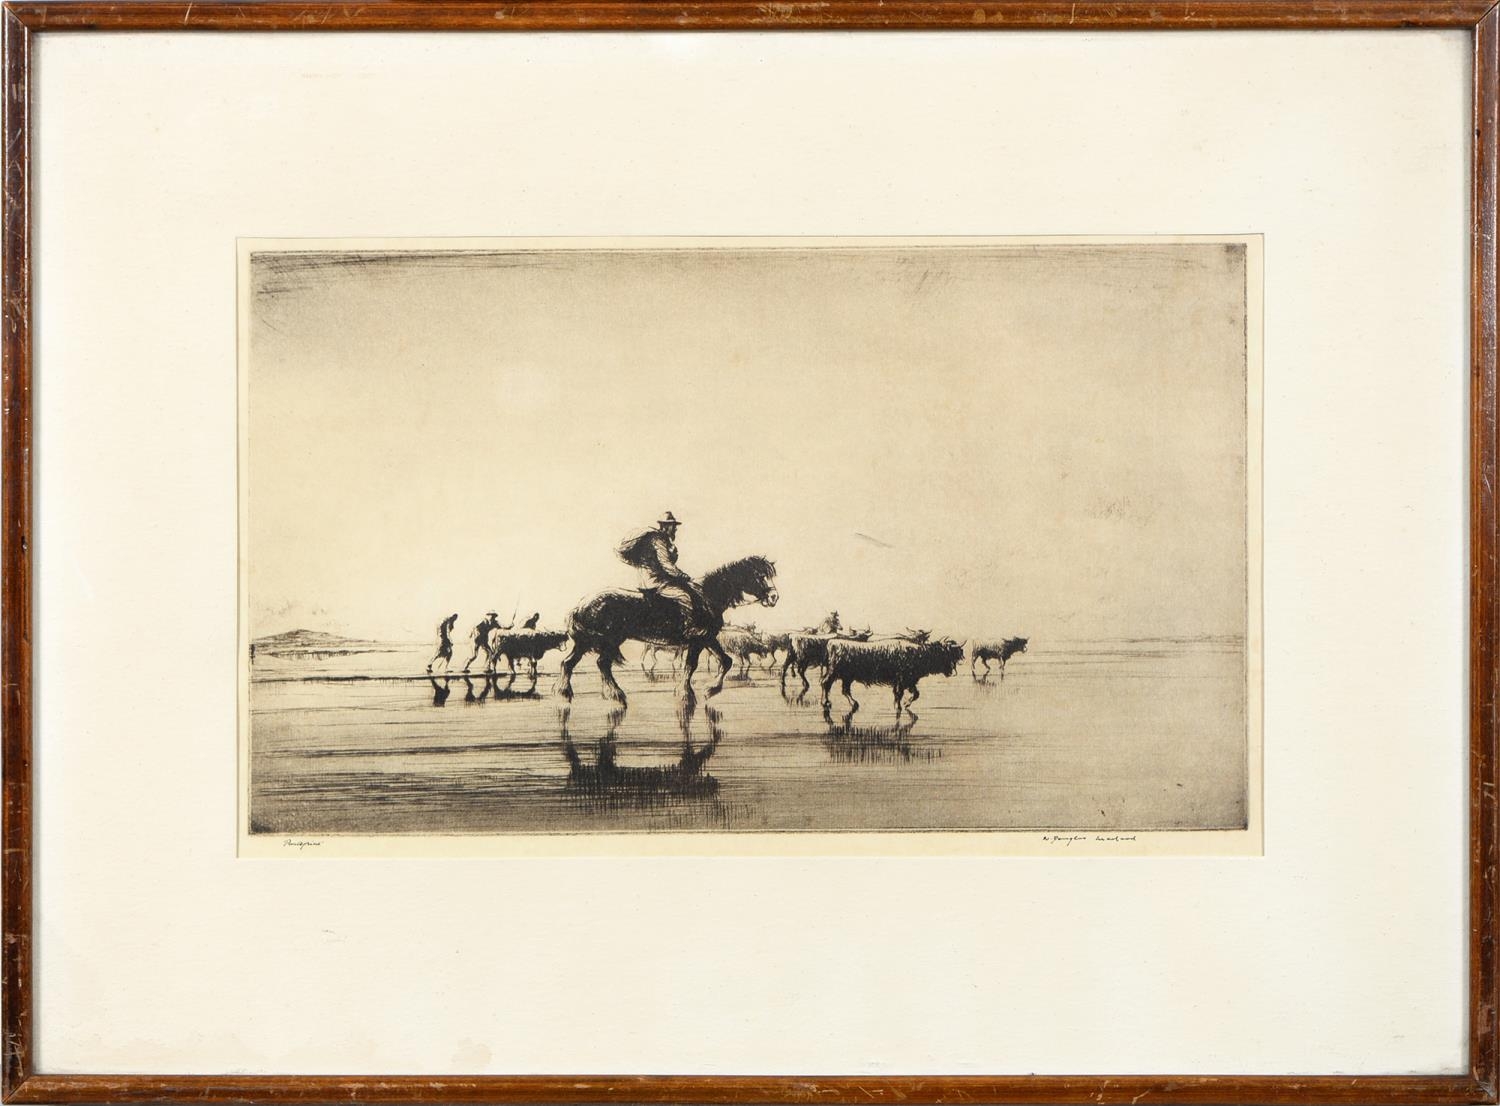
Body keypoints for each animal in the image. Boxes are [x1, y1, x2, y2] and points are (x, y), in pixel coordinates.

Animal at [558, 555, 780, 702]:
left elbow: (725, 661)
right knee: (599, 663)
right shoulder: (697, 640)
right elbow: (691, 666)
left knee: (572, 663)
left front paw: (710, 690)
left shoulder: (708, 639)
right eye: (760, 576)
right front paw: (686, 693)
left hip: (589, 642)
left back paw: (569, 692)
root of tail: (580, 606)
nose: (774, 597)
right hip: (606, 640)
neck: (707, 596)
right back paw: (614, 694)